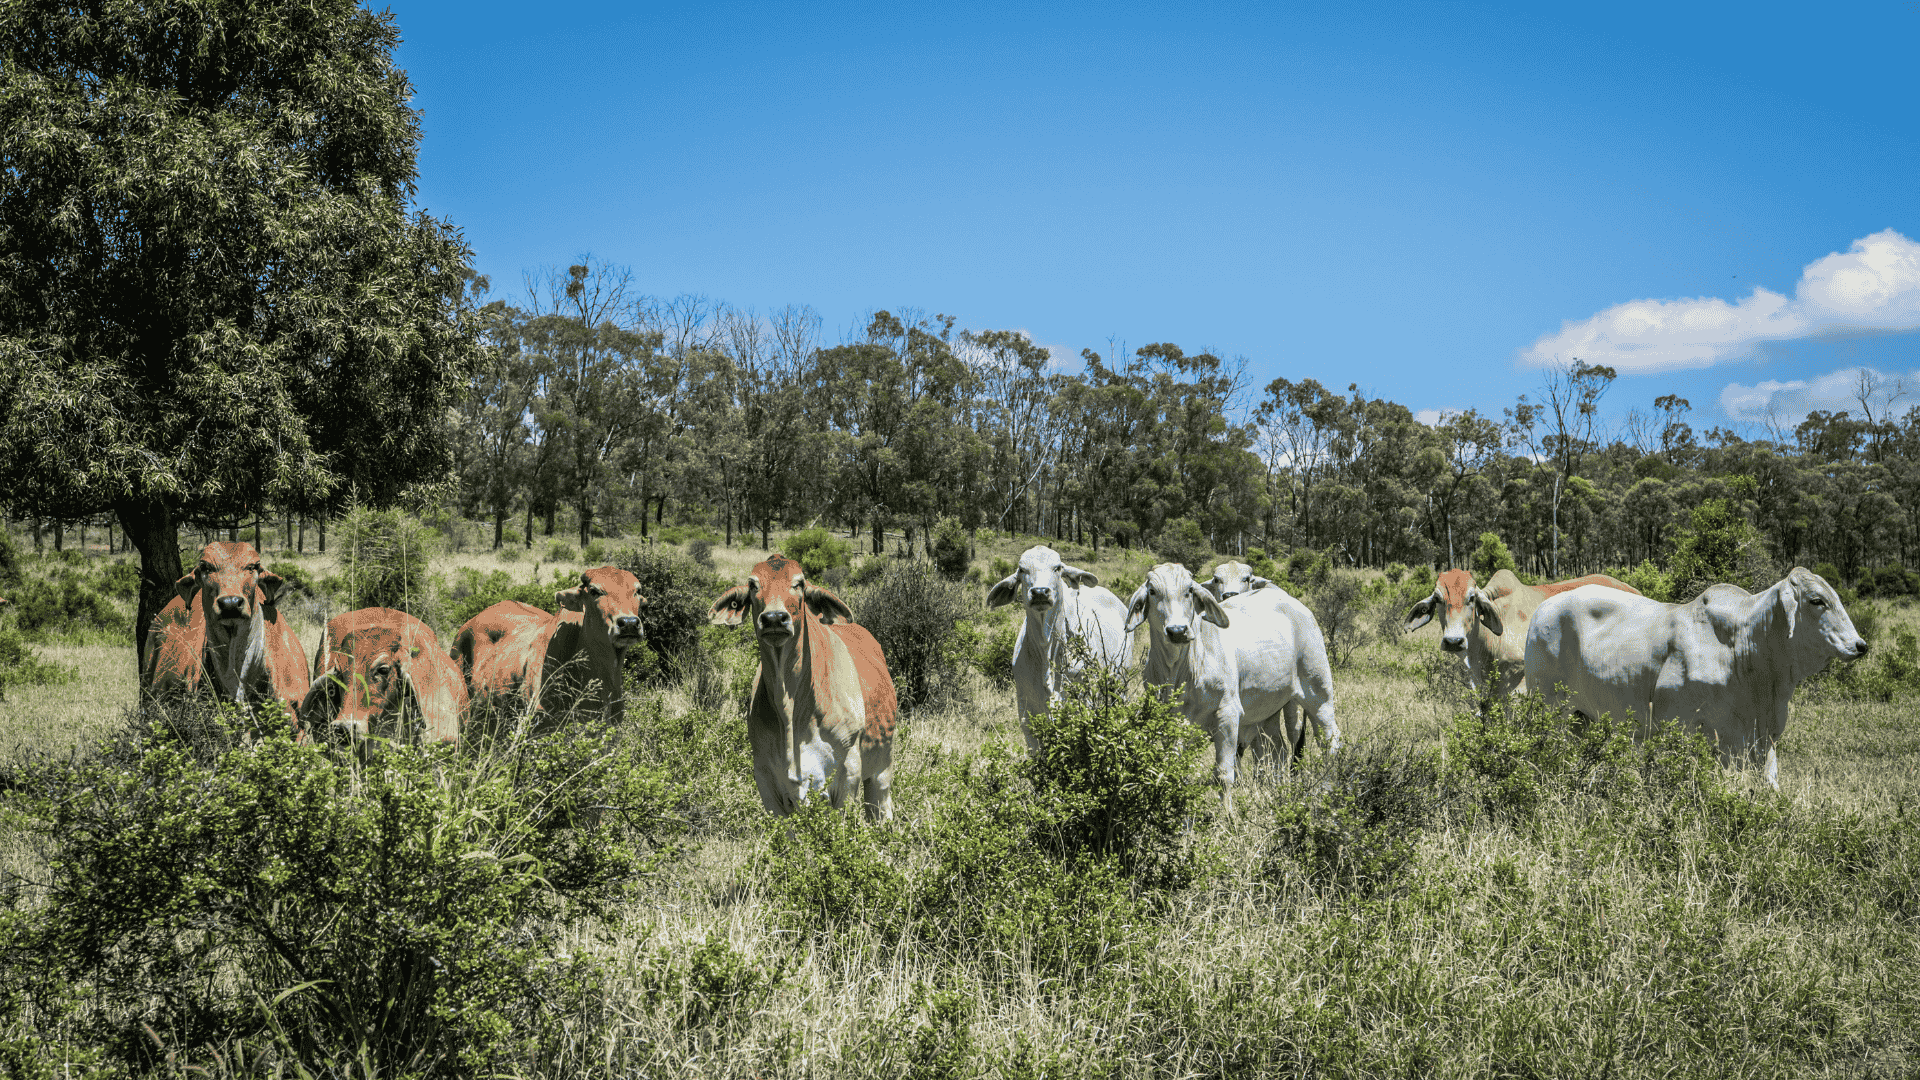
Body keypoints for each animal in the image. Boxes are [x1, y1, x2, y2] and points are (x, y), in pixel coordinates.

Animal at [710, 553, 897, 820]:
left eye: (798, 583)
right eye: (753, 584)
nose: (774, 618)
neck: (790, 707)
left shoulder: (848, 775)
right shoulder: (767, 783)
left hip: (882, 769)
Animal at [986, 544, 1133, 754]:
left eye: (1057, 568)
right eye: (1022, 570)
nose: (1040, 592)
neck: (1047, 651)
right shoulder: (1027, 717)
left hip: (1120, 683)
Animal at [1125, 562, 1341, 813]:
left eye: (1189, 591)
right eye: (1152, 591)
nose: (1177, 631)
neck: (1181, 672)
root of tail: (1294, 604)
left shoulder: (1227, 715)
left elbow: (1223, 774)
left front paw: (1227, 816)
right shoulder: (1171, 724)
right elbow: (1179, 774)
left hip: (1318, 694)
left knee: (1328, 740)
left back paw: (1328, 788)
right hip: (1268, 711)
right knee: (1278, 750)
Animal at [1523, 567, 1869, 788]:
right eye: (1816, 600)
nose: (1859, 645)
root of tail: (1542, 609)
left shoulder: (1763, 737)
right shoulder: (1692, 730)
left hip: (1580, 719)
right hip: (1548, 708)